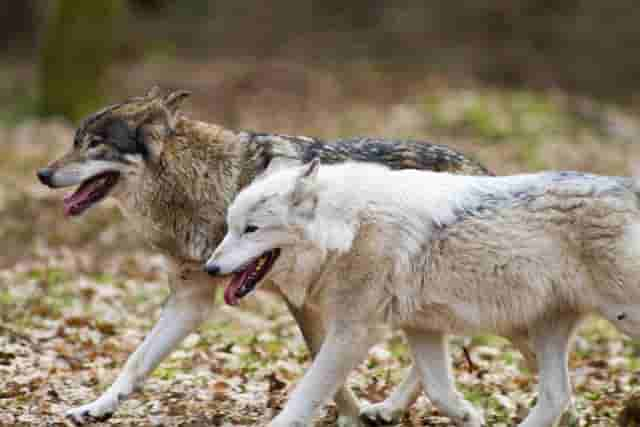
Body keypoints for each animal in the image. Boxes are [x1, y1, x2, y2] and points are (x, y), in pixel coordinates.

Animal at [36, 88, 490, 426]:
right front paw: (96, 408)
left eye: (95, 145)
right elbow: (136, 360)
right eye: (75, 142)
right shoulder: (190, 300)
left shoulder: (304, 301)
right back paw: (392, 409)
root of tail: (482, 168)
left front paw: (348, 416)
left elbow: (326, 368)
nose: (42, 174)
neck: (210, 185)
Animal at [205, 160, 640, 427]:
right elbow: (438, 389)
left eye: (251, 229)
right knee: (556, 395)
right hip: (544, 327)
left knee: (558, 394)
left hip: (615, 318)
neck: (349, 226)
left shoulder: (353, 332)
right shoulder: (422, 329)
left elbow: (307, 391)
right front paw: (469, 416)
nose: (210, 268)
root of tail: (629, 186)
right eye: (230, 227)